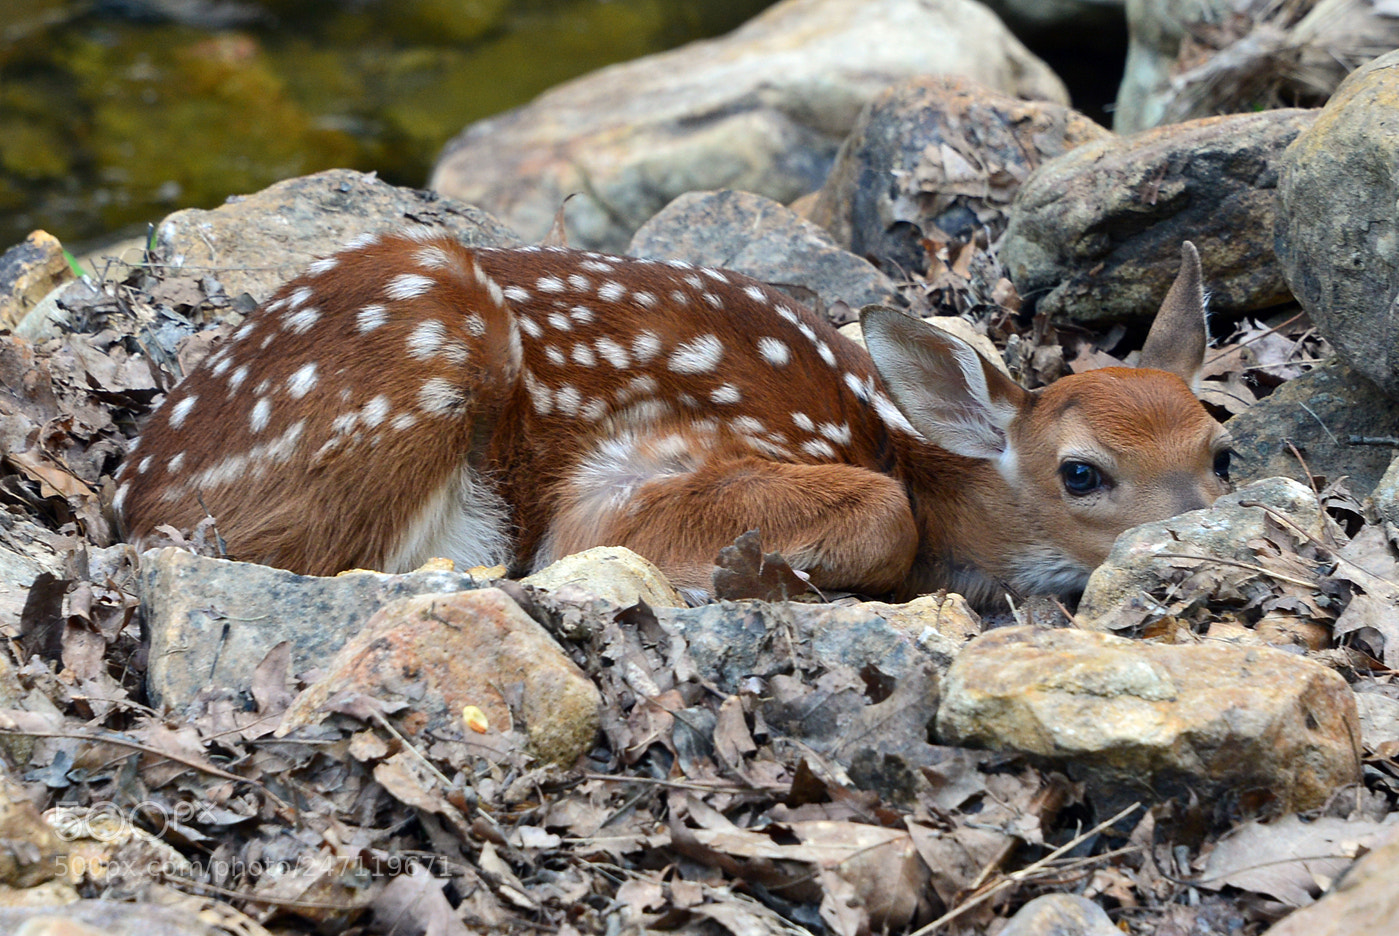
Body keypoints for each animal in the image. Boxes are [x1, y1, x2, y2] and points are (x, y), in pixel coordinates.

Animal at [116, 231, 1231, 608]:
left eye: (1219, 448)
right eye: (1081, 472)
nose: (1199, 533)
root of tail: (132, 493)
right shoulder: (630, 471)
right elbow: (883, 513)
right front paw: (743, 574)